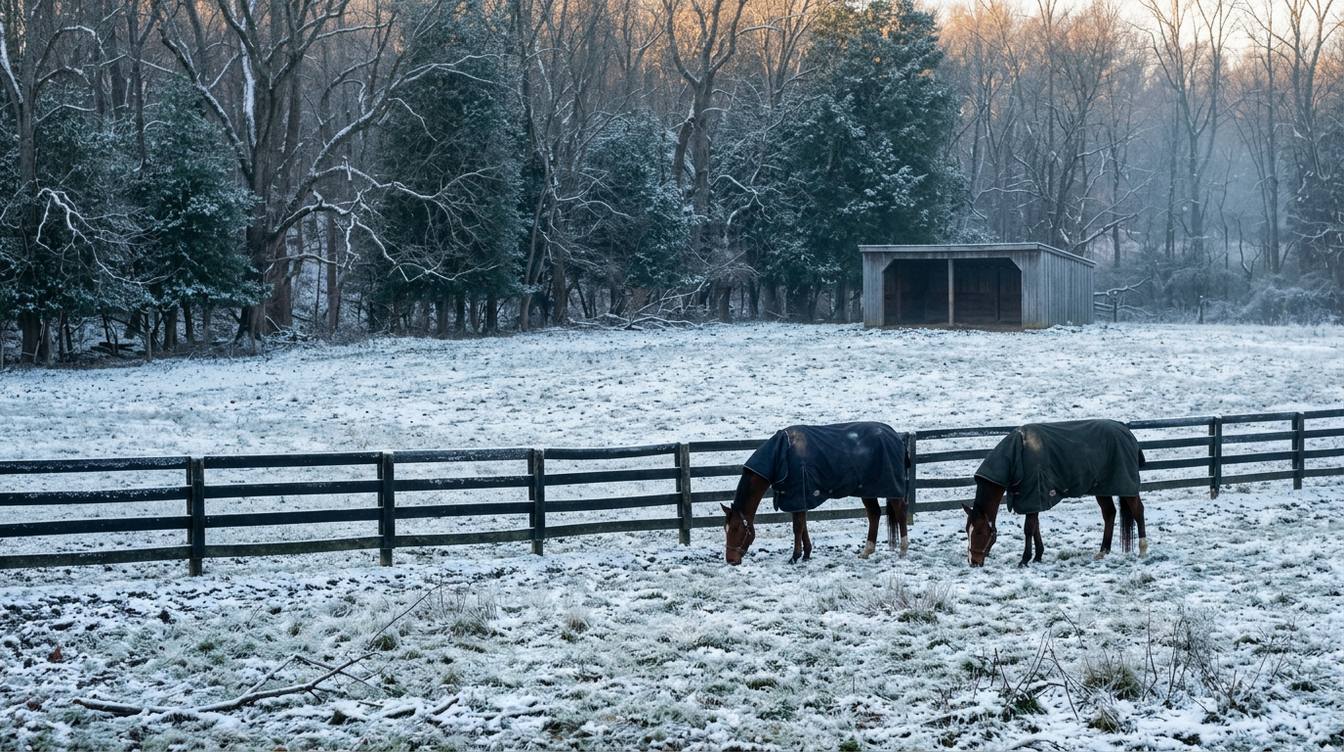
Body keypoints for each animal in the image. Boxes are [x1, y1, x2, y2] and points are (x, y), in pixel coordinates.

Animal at [721, 422, 910, 565]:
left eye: (737, 529)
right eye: (726, 529)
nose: (731, 560)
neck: (780, 455)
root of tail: (895, 436)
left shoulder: (798, 496)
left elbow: (797, 527)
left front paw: (795, 556)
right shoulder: (797, 498)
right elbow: (802, 525)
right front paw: (806, 554)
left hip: (891, 489)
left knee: (900, 512)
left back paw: (903, 550)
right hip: (868, 490)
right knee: (874, 514)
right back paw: (867, 551)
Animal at [963, 419, 1148, 567]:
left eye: (979, 532)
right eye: (966, 530)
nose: (974, 562)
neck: (1017, 454)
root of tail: (1126, 431)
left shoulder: (1033, 495)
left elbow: (1028, 529)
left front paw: (1025, 559)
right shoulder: (1033, 500)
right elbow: (1035, 527)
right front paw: (1037, 556)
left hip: (1126, 487)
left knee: (1138, 511)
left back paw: (1143, 550)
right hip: (1102, 489)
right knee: (1109, 513)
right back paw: (1103, 551)